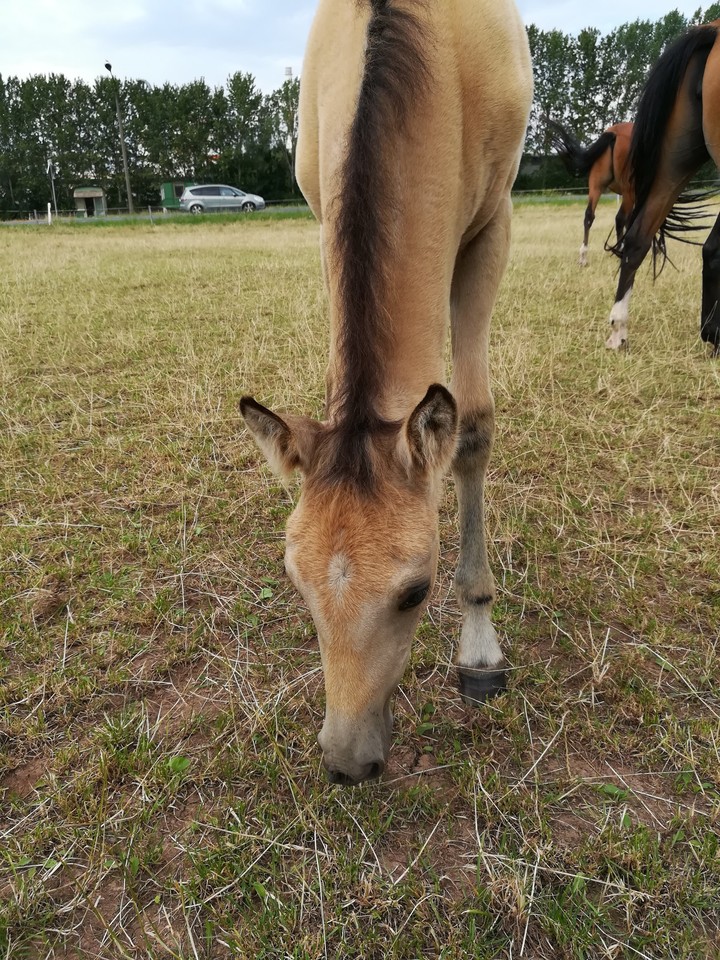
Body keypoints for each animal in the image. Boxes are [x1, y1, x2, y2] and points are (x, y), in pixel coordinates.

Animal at [240, 0, 532, 785]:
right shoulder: (325, 223)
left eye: (415, 591)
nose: (347, 759)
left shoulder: (492, 227)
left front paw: (480, 651)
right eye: (296, 583)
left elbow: (474, 427)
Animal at [545, 118, 634, 266]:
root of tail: (615, 132)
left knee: (589, 216)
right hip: (627, 191)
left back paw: (583, 257)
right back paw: (620, 254)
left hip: (596, 186)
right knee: (620, 218)